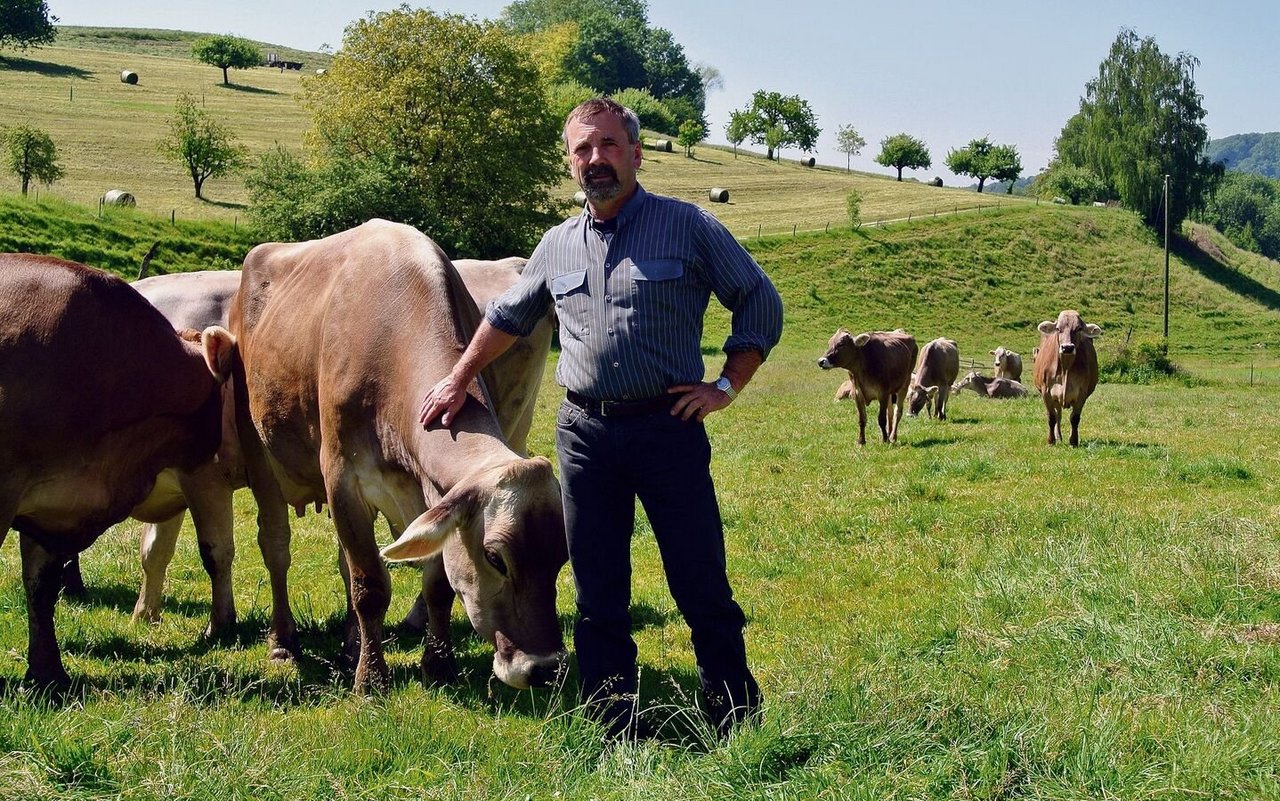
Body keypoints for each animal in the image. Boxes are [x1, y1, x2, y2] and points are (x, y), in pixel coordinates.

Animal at [231, 218, 570, 690]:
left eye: (562, 555)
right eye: (494, 557)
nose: (544, 668)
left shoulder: (433, 498)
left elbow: (436, 585)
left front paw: (439, 665)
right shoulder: (343, 479)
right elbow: (370, 585)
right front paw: (370, 680)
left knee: (342, 560)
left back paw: (350, 644)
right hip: (260, 450)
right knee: (276, 547)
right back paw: (283, 642)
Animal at [1029, 307, 1100, 442]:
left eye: (1079, 329)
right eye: (1058, 328)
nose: (1067, 347)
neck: (1065, 368)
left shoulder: (1082, 393)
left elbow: (1075, 418)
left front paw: (1074, 440)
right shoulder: (1046, 392)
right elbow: (1052, 417)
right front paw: (1051, 440)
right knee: (1058, 415)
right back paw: (1058, 436)